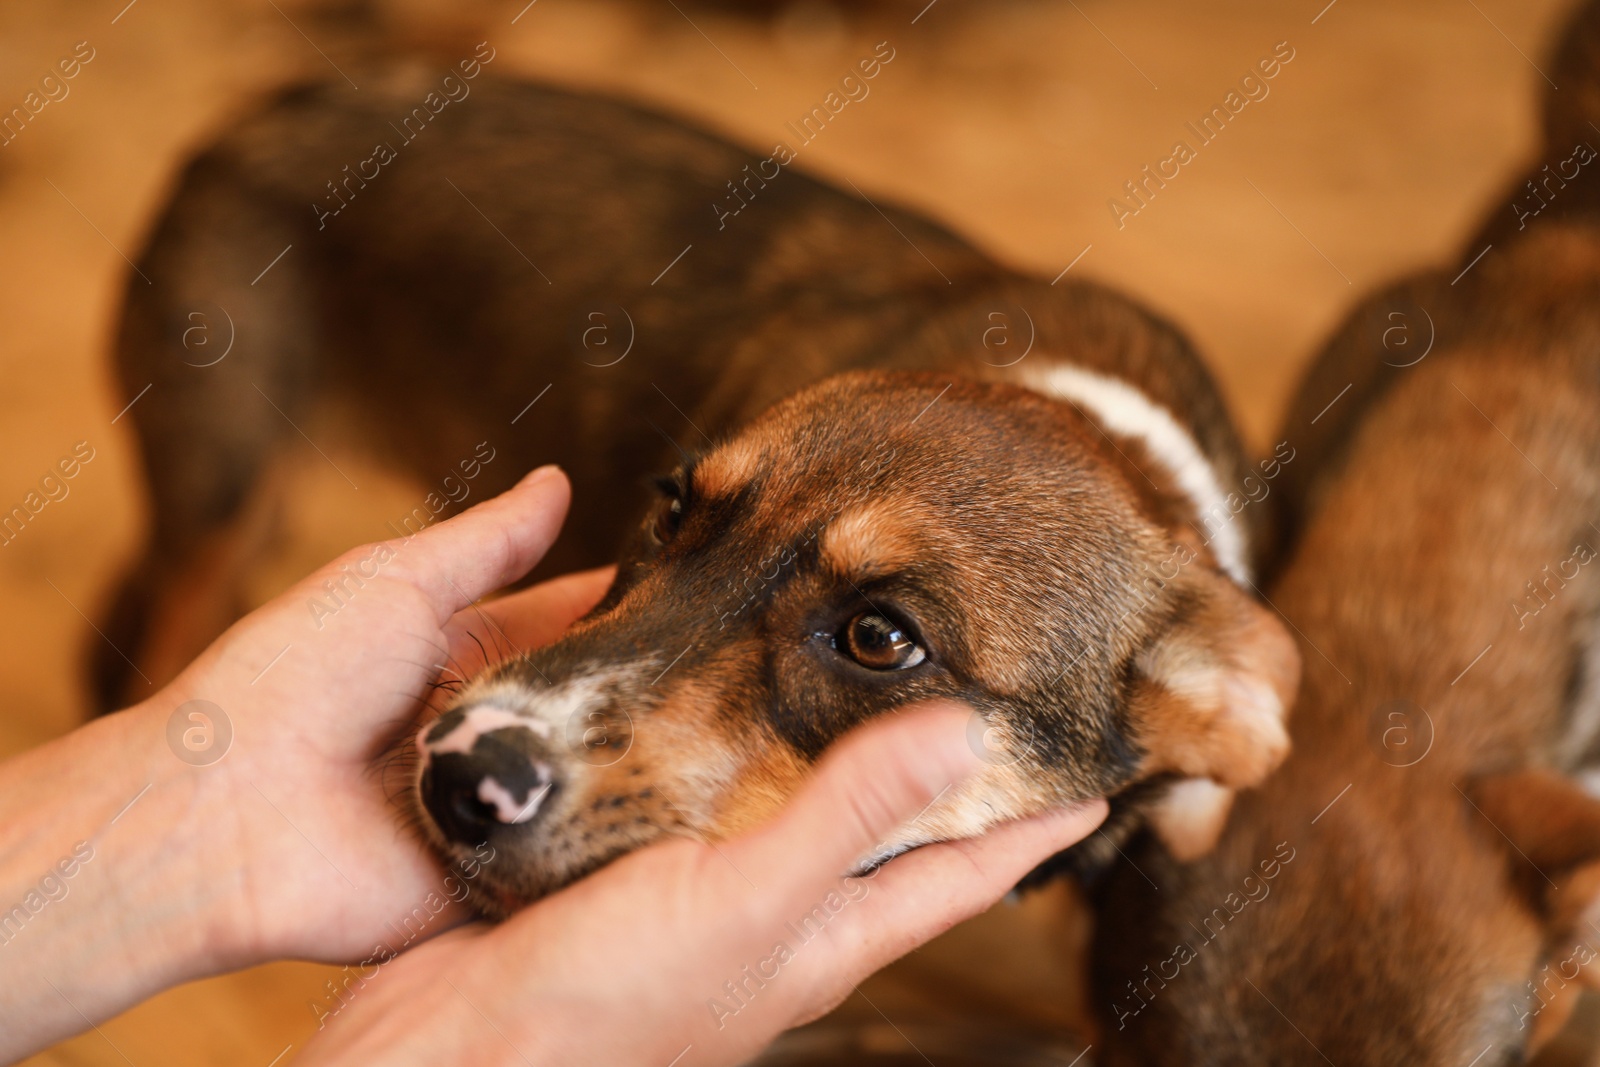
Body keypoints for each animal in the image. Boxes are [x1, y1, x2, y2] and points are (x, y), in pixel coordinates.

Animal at [103, 56, 1299, 908]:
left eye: (881, 637)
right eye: (672, 506)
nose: (460, 772)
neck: (1085, 411)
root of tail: (284, 96)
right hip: (219, 487)